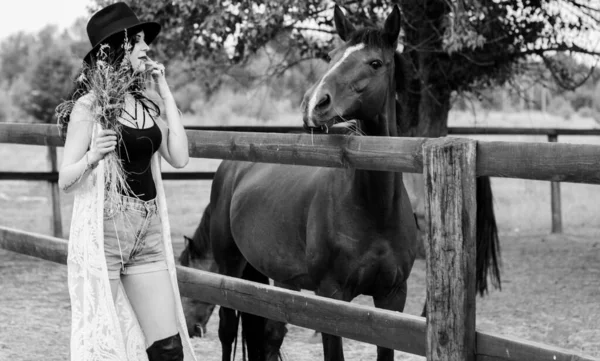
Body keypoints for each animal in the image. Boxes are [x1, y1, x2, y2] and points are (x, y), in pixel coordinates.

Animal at [180, 4, 500, 358]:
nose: (314, 104)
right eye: (332, 56)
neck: (373, 209)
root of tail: (234, 164)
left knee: (267, 335)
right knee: (228, 330)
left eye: (375, 63)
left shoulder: (392, 299)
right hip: (231, 268)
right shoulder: (331, 300)